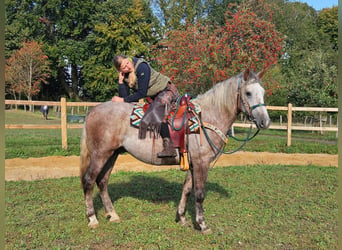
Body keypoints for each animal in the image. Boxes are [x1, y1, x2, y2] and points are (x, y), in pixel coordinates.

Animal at [79, 68, 270, 232]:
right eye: (248, 93)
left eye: (263, 92)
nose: (265, 122)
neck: (207, 117)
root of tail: (93, 110)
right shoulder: (201, 163)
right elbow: (199, 193)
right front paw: (202, 224)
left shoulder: (192, 164)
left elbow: (187, 190)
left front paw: (182, 218)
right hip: (100, 154)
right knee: (89, 180)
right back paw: (92, 218)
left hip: (112, 154)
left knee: (102, 182)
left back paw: (113, 215)